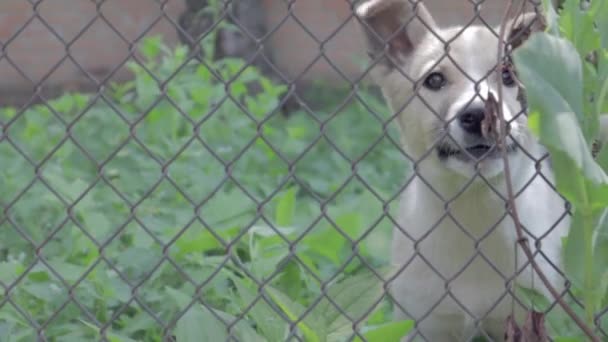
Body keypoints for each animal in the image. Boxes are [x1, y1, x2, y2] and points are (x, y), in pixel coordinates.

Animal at [356, 1, 568, 340]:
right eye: (434, 80)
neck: (473, 211)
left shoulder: (531, 316)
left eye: (507, 74)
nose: (480, 115)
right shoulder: (426, 322)